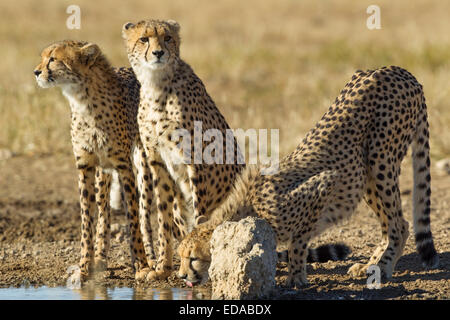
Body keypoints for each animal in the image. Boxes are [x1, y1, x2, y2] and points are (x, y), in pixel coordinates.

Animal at [33, 40, 155, 280]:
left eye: (53, 59)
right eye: (43, 57)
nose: (36, 72)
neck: (82, 99)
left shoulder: (124, 166)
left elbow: (133, 217)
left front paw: (141, 265)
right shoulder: (85, 165)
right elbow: (87, 220)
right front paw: (84, 267)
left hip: (142, 162)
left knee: (145, 209)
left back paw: (153, 259)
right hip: (103, 172)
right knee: (104, 209)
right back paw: (101, 257)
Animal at [121, 20, 244, 280]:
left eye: (167, 38)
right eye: (144, 39)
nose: (159, 53)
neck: (156, 85)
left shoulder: (196, 157)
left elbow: (200, 213)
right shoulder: (157, 160)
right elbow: (163, 218)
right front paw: (162, 268)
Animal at [178, 65, 440, 288]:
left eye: (193, 258)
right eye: (180, 256)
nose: (181, 276)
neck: (248, 206)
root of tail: (399, 70)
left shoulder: (323, 185)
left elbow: (298, 241)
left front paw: (295, 278)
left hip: (381, 160)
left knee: (400, 224)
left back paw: (383, 268)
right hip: (365, 177)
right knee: (387, 223)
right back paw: (371, 265)